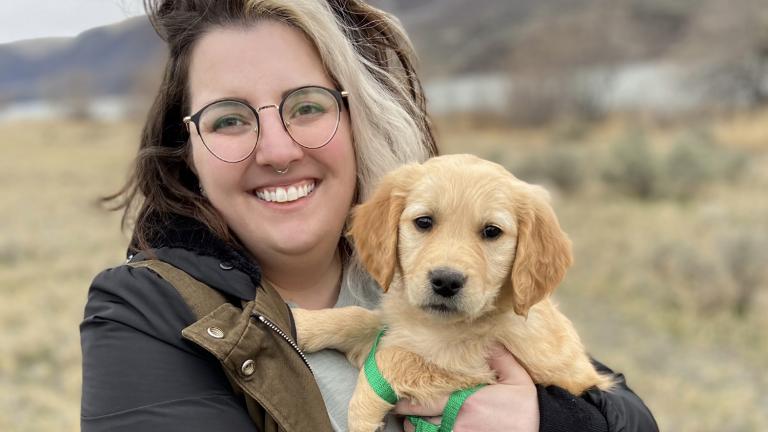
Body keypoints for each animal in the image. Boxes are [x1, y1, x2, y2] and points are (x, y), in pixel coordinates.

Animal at [292, 153, 612, 432]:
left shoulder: (478, 372)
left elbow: (397, 359)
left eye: (492, 232)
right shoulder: (399, 328)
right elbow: (360, 318)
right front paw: (305, 323)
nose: (446, 281)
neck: (440, 327)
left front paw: (362, 410)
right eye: (424, 222)